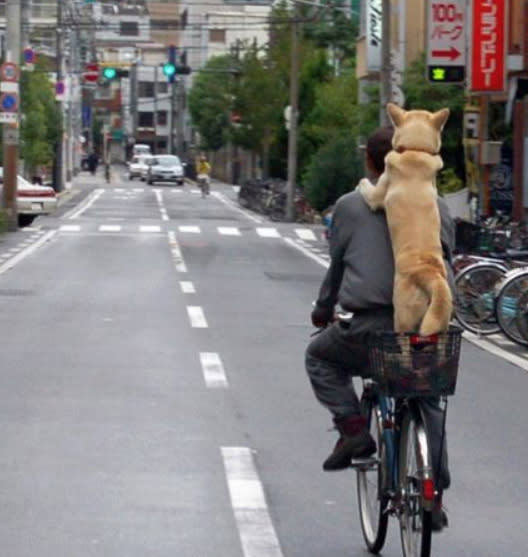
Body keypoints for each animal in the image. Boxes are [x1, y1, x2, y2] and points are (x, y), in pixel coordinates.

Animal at [358, 103, 454, 334]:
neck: (416, 150)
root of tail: (430, 274)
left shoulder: (377, 195)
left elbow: (366, 186)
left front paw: (359, 182)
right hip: (441, 318)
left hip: (403, 317)